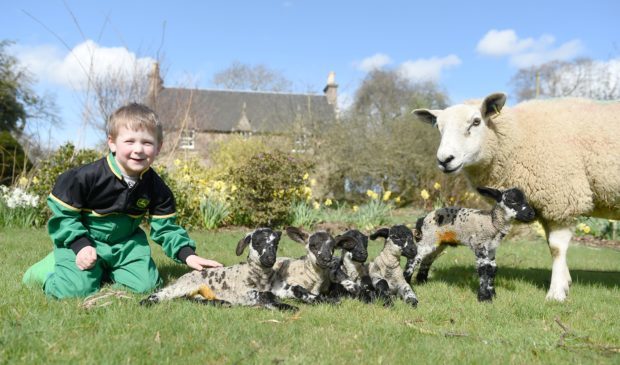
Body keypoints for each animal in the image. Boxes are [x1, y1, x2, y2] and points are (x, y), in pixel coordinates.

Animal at [139, 228, 298, 310]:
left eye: (276, 244)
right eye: (257, 243)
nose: (270, 259)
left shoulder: (279, 287)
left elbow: (296, 289)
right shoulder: (243, 293)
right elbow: (263, 295)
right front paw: (287, 306)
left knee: (192, 299)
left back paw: (220, 303)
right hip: (182, 286)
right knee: (164, 293)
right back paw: (145, 302)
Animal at [404, 186, 536, 300]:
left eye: (525, 199)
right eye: (511, 201)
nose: (532, 214)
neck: (491, 222)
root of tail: (423, 219)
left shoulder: (491, 249)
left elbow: (492, 269)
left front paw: (492, 294)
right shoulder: (479, 245)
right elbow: (484, 269)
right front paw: (484, 297)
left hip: (438, 243)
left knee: (427, 260)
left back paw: (422, 281)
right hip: (428, 239)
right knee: (414, 258)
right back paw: (407, 282)